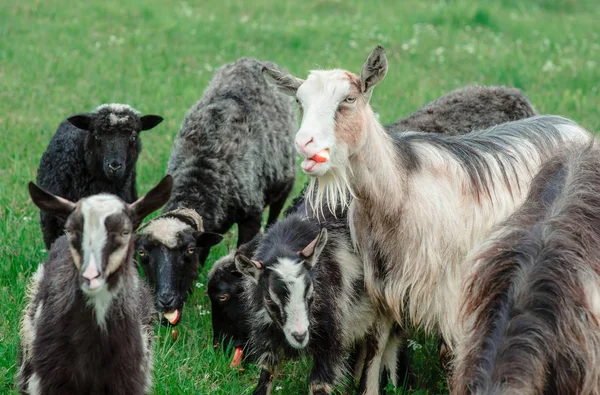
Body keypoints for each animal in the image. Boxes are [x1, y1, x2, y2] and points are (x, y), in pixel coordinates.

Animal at [237, 209, 400, 394]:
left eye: (311, 293)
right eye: (269, 300)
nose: (300, 336)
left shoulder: (331, 335)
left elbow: (318, 384)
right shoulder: (268, 331)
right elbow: (267, 372)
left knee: (377, 346)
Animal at [264, 44, 592, 352]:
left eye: (349, 99)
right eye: (299, 101)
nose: (304, 143)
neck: (400, 190)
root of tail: (575, 127)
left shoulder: (452, 293)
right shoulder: (384, 286)